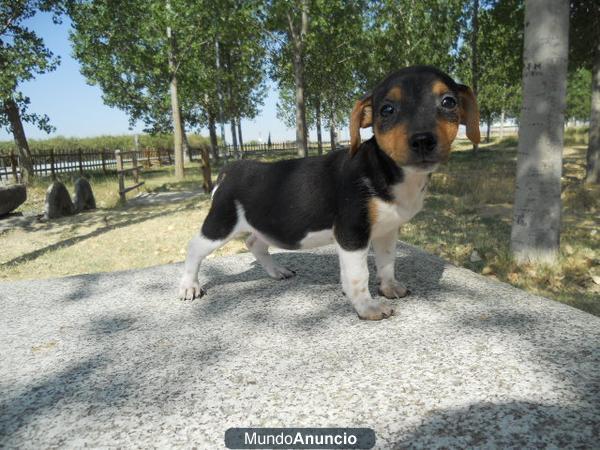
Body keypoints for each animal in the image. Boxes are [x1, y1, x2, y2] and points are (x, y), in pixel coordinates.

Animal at [178, 66, 478, 320]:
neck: (388, 171)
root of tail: (230, 170)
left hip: (257, 224)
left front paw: (389, 287)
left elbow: (386, 263)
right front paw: (366, 306)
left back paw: (277, 271)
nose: (423, 140)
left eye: (448, 102)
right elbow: (358, 275)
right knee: (194, 248)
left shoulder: (386, 231)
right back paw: (189, 286)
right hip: (220, 224)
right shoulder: (352, 233)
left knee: (255, 243)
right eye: (387, 109)